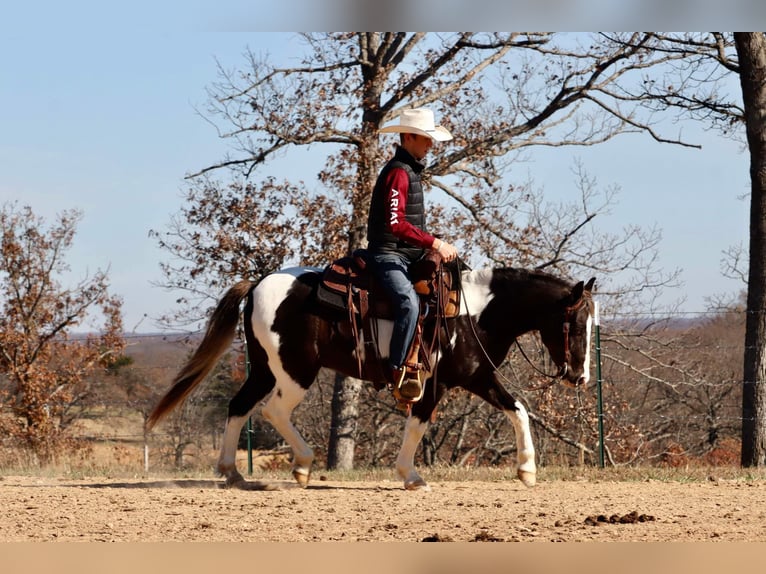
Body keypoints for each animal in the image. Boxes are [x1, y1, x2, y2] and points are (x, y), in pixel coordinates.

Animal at [146, 266, 600, 490]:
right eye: (576, 324)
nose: (579, 377)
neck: (474, 313)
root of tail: (258, 285)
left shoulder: (478, 377)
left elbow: (518, 410)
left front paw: (527, 470)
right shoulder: (432, 384)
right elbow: (418, 425)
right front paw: (410, 476)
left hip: (262, 369)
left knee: (239, 407)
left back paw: (232, 472)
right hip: (294, 372)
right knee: (273, 411)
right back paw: (302, 466)